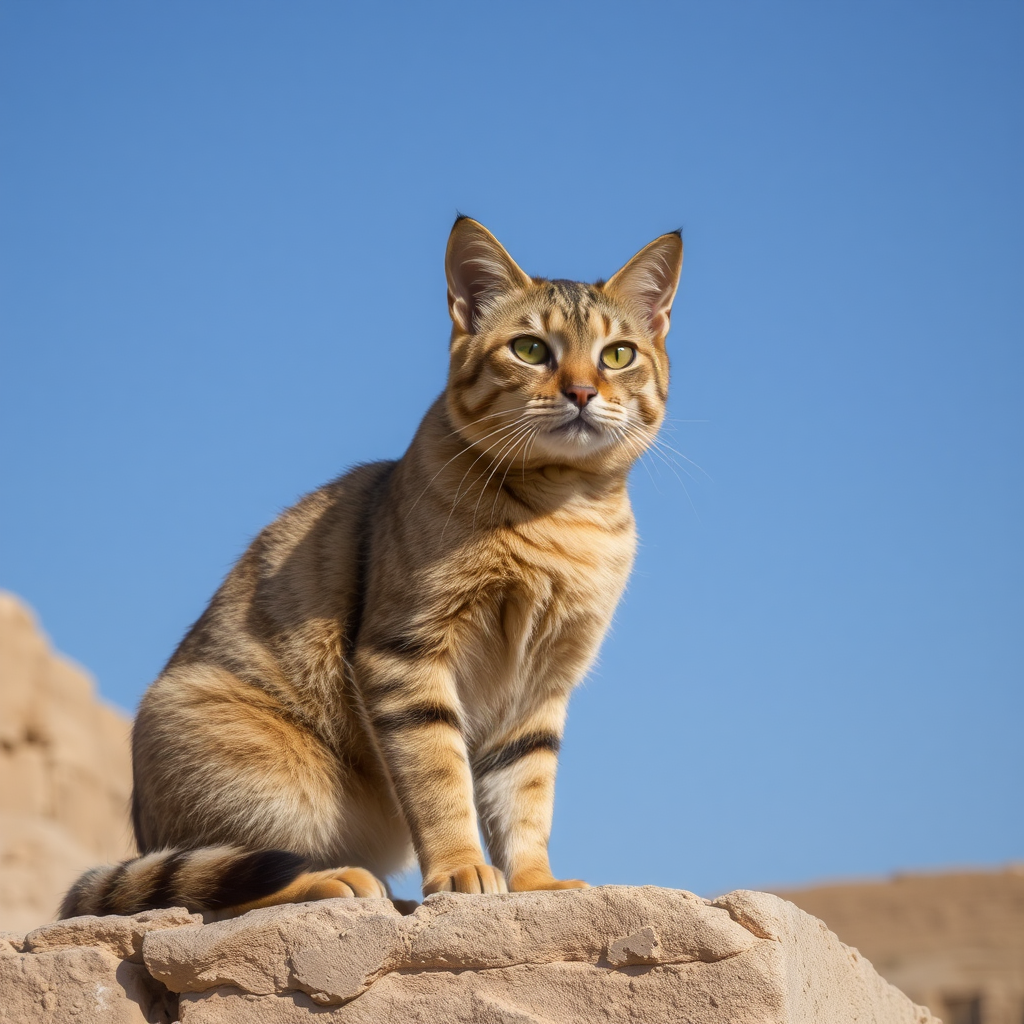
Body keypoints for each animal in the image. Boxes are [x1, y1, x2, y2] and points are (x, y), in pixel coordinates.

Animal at [56, 218, 679, 921]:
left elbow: (526, 796)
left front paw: (536, 882)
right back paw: (338, 880)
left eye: (618, 355)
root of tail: (145, 836)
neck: (563, 513)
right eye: (530, 349)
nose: (581, 391)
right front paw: (462, 869)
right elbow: (440, 780)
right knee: (220, 888)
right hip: (271, 791)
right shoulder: (406, 655)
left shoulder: (541, 687)